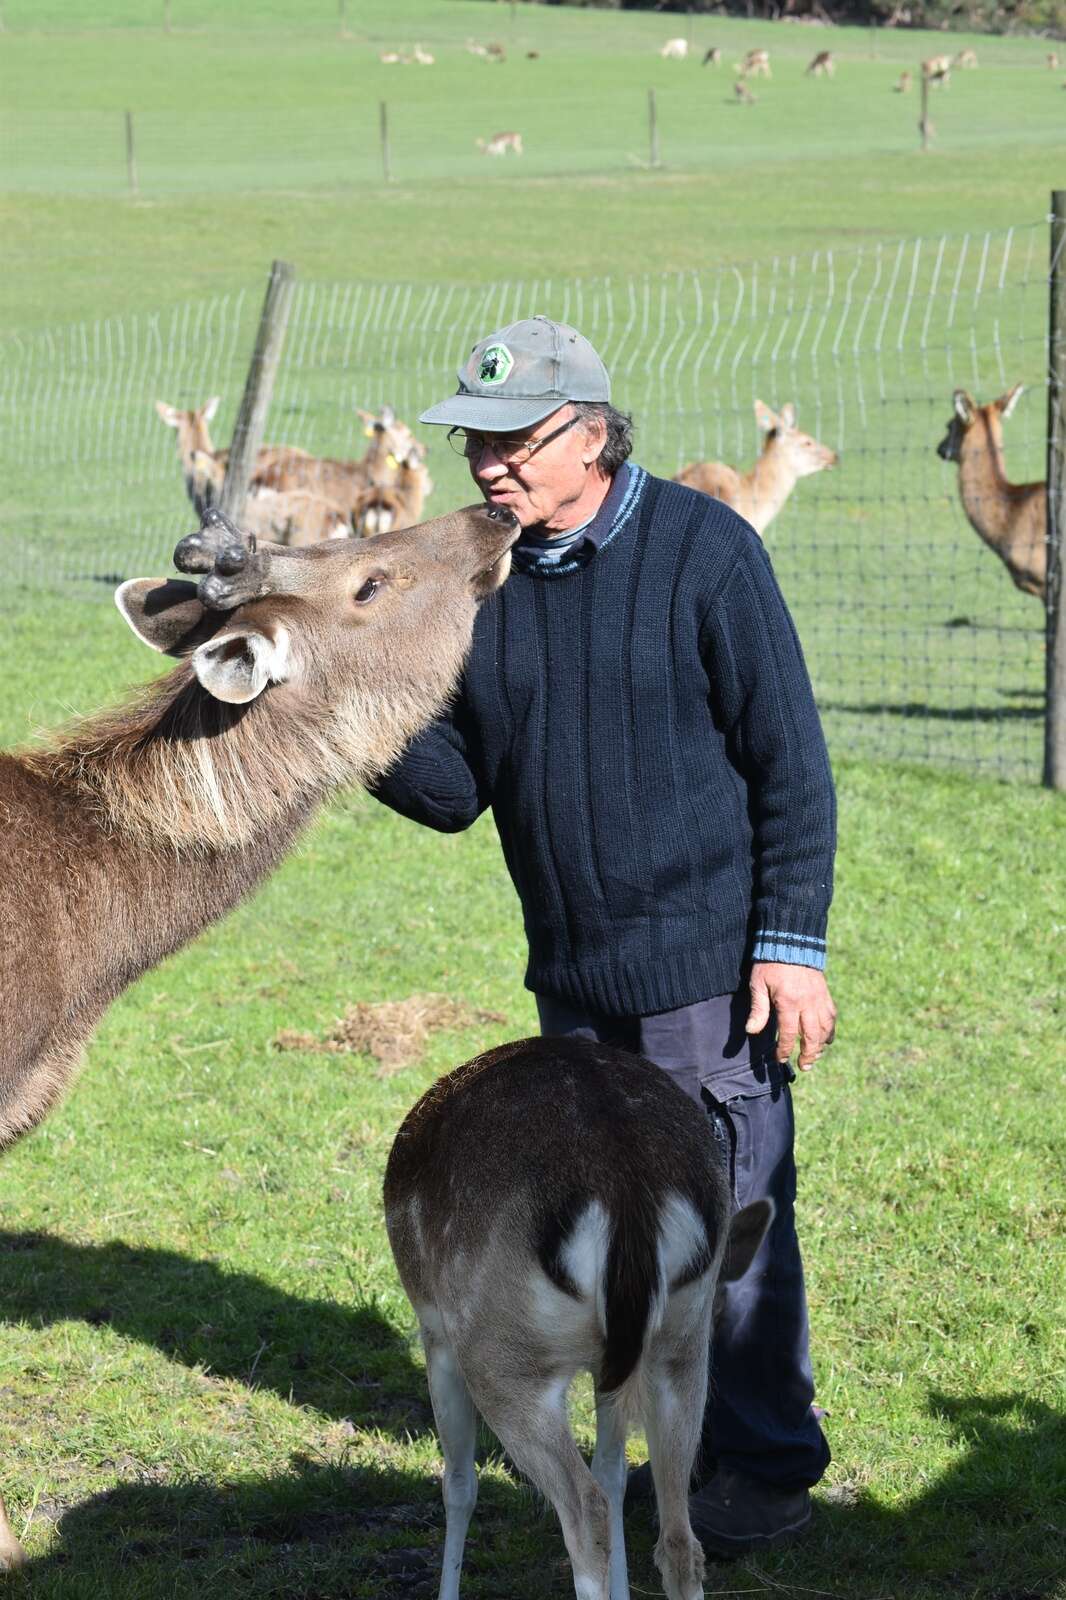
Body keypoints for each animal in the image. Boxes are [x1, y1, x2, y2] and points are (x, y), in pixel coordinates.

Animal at [385, 1035, 774, 1600]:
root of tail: (627, 1188)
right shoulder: (617, 1367)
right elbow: (613, 1472)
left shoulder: (436, 1335)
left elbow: (459, 1483)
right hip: (679, 1345)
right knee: (678, 1536)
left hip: (499, 1354)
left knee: (584, 1511)